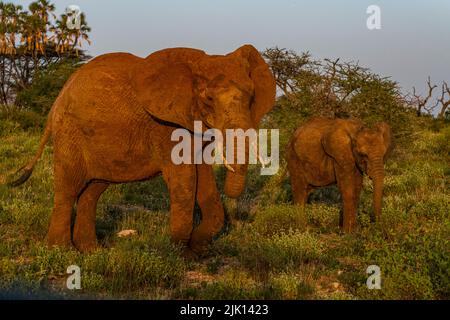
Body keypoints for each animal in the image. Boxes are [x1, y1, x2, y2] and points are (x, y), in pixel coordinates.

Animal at [9, 45, 278, 255]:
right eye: (209, 99)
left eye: (252, 97)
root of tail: (56, 102)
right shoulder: (166, 126)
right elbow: (185, 180)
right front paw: (176, 252)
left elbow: (205, 180)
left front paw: (198, 250)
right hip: (69, 133)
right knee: (68, 189)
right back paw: (60, 251)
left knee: (92, 191)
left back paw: (91, 251)